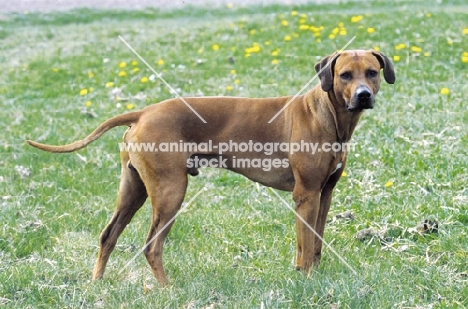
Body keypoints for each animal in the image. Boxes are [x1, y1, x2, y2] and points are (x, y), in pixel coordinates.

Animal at [27, 49, 394, 282]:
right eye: (344, 75)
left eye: (371, 73)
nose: (363, 95)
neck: (327, 116)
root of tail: (143, 112)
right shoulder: (305, 195)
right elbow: (305, 246)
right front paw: (305, 281)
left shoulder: (324, 194)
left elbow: (316, 244)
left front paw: (314, 276)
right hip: (171, 191)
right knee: (152, 246)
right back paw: (168, 289)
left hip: (133, 190)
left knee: (108, 235)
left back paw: (97, 284)